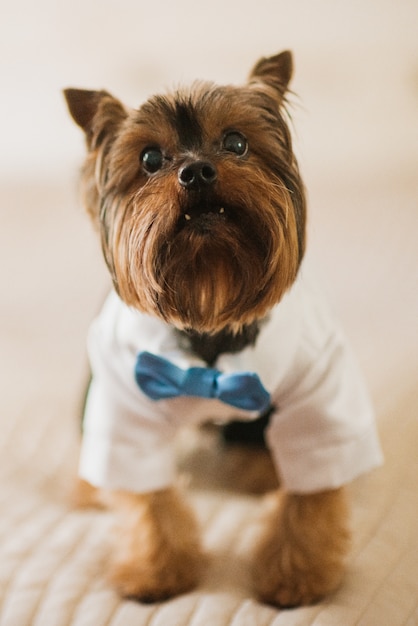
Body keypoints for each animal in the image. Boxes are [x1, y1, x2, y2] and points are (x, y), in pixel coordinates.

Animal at [64, 51, 382, 608]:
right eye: (150, 159)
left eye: (236, 143)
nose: (196, 171)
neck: (209, 312)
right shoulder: (125, 402)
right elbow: (146, 496)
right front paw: (155, 569)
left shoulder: (321, 393)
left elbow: (312, 487)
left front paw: (297, 574)